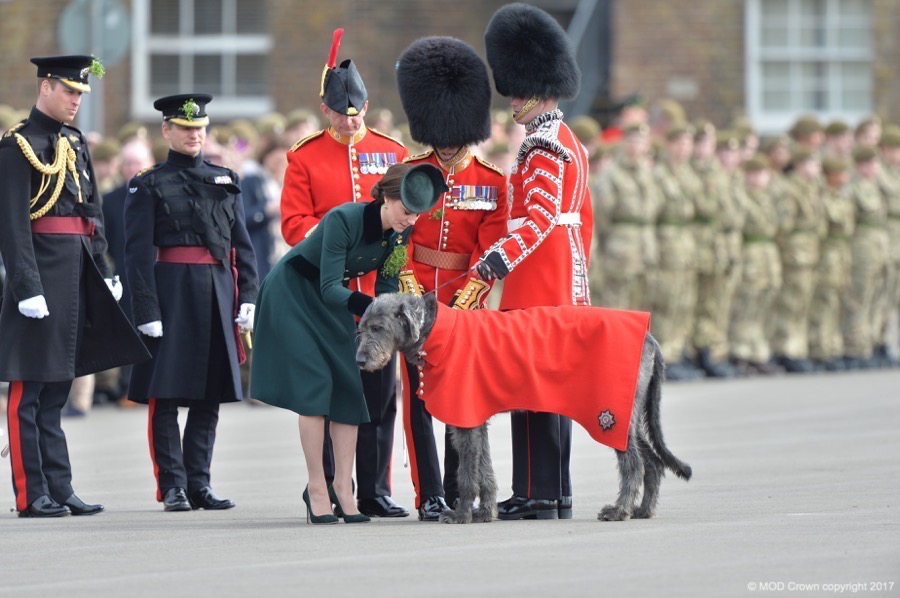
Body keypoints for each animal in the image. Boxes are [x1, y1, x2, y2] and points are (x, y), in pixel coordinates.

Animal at [356, 294, 692, 524]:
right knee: (652, 461)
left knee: (633, 462)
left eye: (378, 327)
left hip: (611, 414)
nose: (360, 361)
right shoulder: (475, 416)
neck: (435, 331)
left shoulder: (464, 416)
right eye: (361, 328)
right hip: (629, 417)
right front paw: (485, 512)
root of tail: (650, 338)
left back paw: (620, 509)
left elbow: (467, 472)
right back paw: (643, 509)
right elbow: (484, 468)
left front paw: (462, 514)